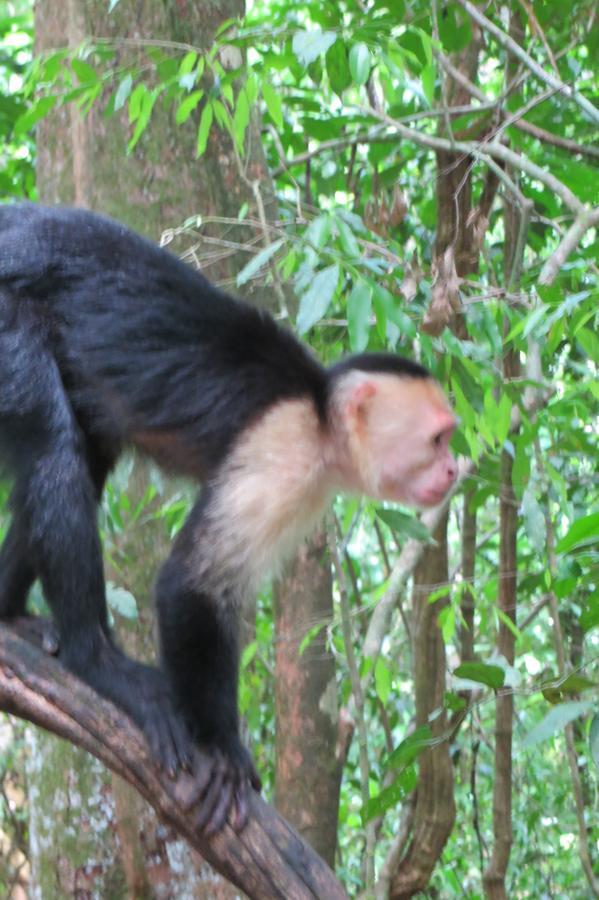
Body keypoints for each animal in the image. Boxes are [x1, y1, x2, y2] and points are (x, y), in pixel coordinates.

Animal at [1, 202, 460, 828]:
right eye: (437, 440)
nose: (456, 469)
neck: (320, 416)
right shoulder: (284, 454)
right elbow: (190, 584)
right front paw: (223, 748)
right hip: (5, 320)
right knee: (54, 449)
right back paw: (93, 660)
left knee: (78, 464)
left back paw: (8, 613)